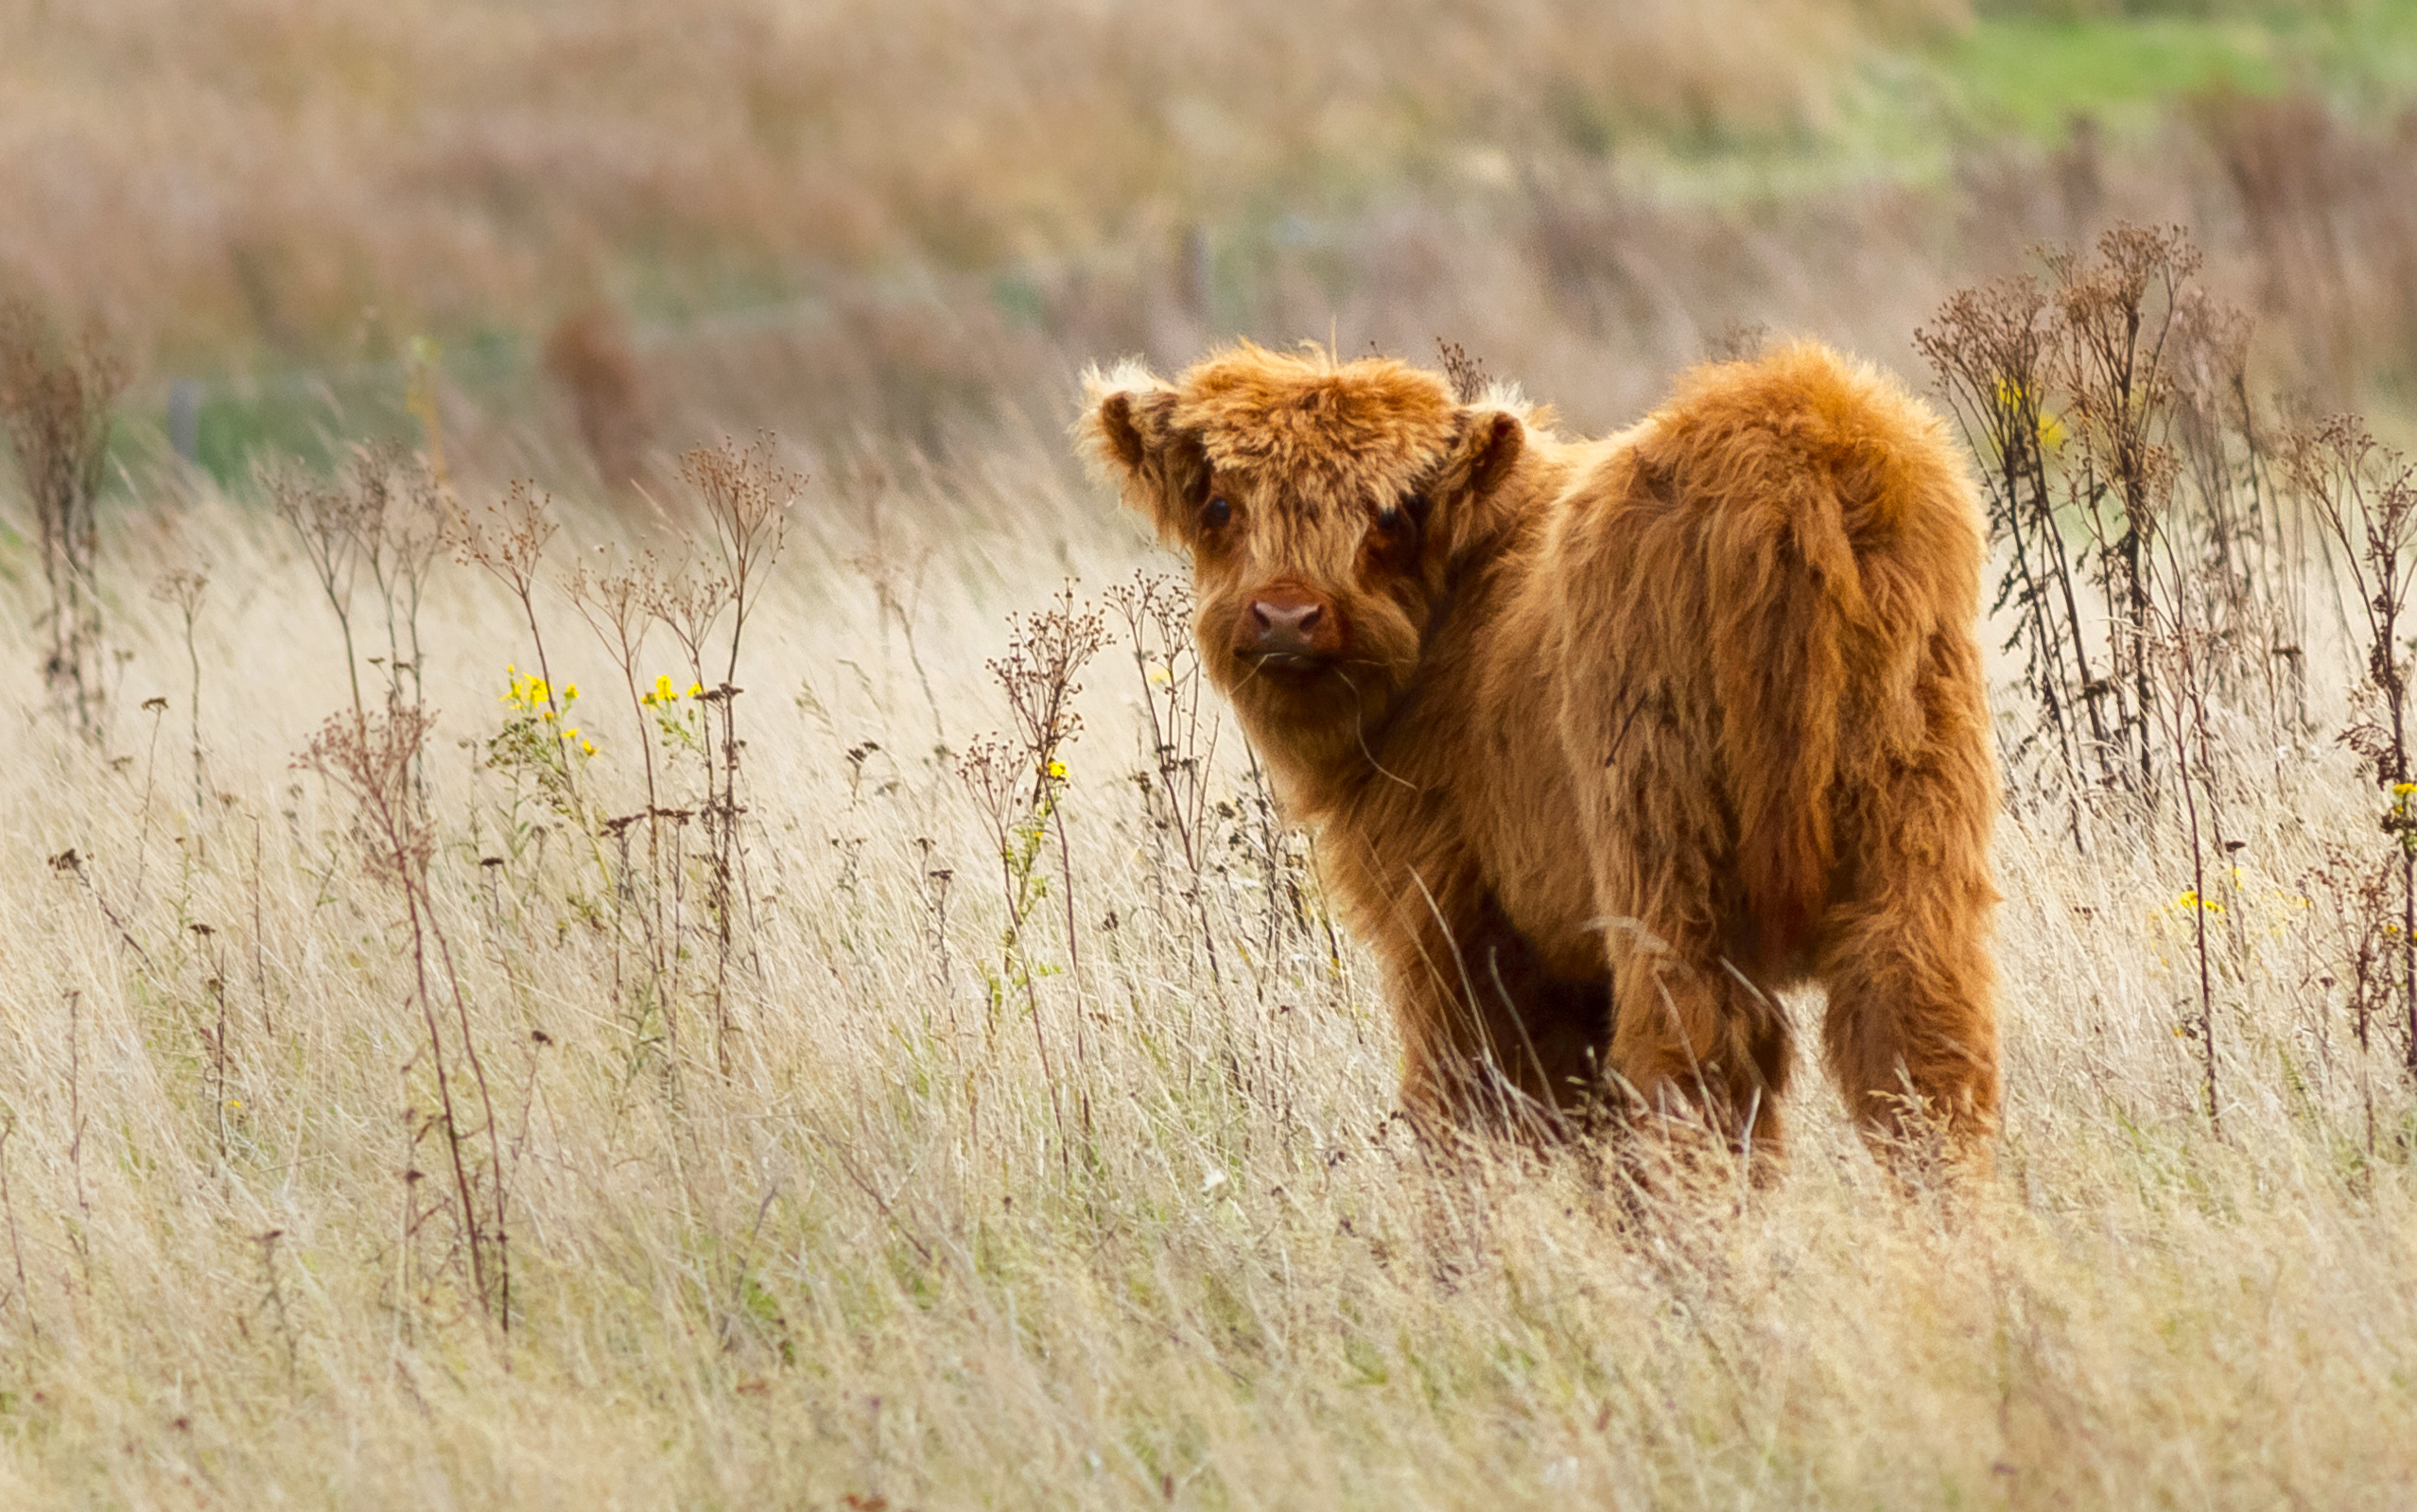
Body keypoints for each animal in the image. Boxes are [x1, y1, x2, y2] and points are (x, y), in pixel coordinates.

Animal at [1087, 345, 1991, 1164]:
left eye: (1390, 515)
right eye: (1217, 504)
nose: (1286, 616)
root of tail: (1791, 448)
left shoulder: (1453, 920)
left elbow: (1463, 1103)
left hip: (1664, 859)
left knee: (1692, 1061)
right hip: (1914, 828)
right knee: (1920, 1044)